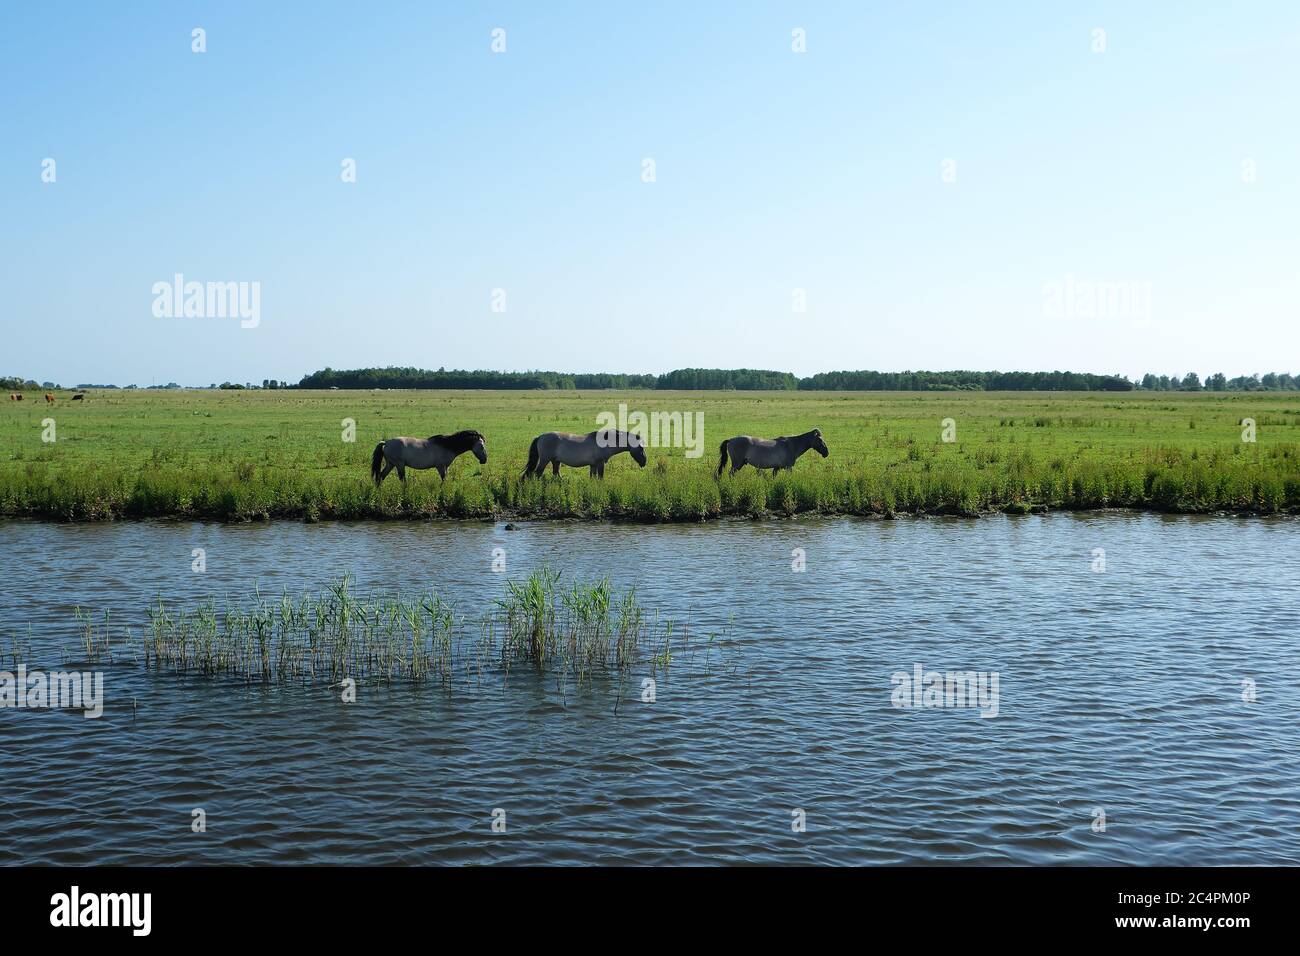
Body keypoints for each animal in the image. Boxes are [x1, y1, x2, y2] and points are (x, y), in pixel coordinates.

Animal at [522, 429, 650, 478]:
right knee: (538, 473)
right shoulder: (600, 463)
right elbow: (600, 477)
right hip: (545, 460)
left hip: (555, 461)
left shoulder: (593, 465)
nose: (644, 462)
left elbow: (592, 477)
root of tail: (540, 436)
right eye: (641, 447)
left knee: (556, 474)